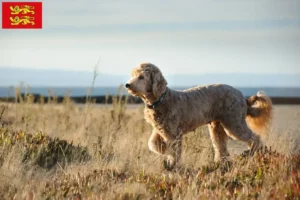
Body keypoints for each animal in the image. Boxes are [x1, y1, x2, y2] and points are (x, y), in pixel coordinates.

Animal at [125, 63, 274, 169]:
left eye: (141, 77)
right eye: (132, 75)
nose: (127, 84)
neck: (160, 100)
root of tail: (243, 97)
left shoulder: (174, 134)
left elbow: (174, 151)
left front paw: (172, 164)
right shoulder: (160, 130)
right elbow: (153, 143)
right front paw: (164, 152)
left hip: (234, 123)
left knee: (254, 137)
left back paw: (254, 152)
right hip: (217, 127)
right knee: (221, 147)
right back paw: (220, 163)